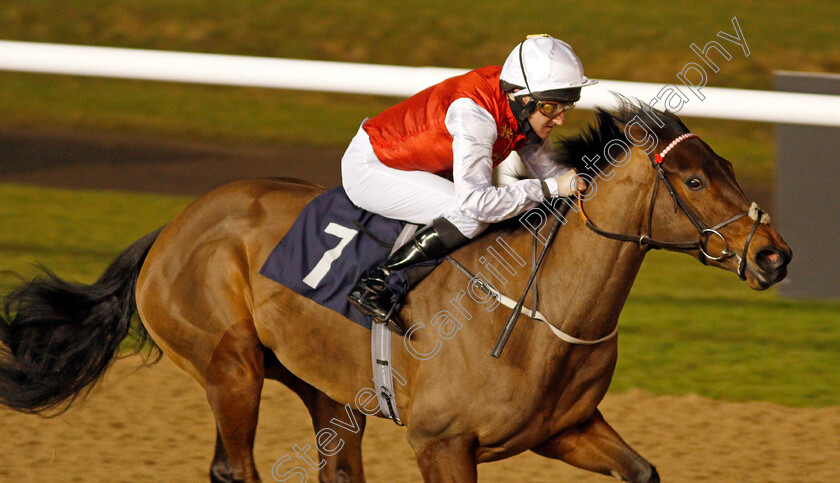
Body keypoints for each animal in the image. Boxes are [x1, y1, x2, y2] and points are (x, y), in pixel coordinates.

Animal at [0, 100, 788, 482]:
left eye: (725, 165)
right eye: (693, 180)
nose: (774, 255)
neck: (539, 314)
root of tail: (173, 224)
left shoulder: (564, 427)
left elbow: (643, 470)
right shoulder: (442, 443)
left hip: (327, 390)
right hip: (230, 367)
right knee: (233, 465)